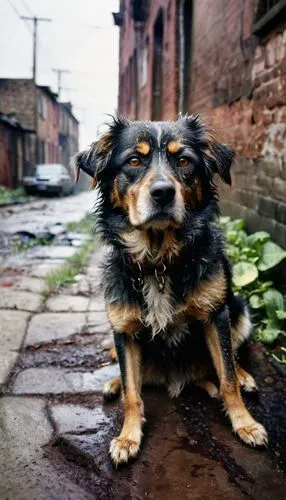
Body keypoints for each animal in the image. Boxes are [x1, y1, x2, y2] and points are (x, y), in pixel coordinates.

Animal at [73, 113, 268, 464]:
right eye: (134, 160)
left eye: (184, 161)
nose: (163, 192)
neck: (158, 260)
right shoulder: (123, 329)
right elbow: (132, 391)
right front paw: (128, 437)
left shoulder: (216, 315)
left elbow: (227, 377)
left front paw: (245, 423)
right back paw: (112, 384)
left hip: (241, 309)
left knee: (233, 357)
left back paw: (245, 376)